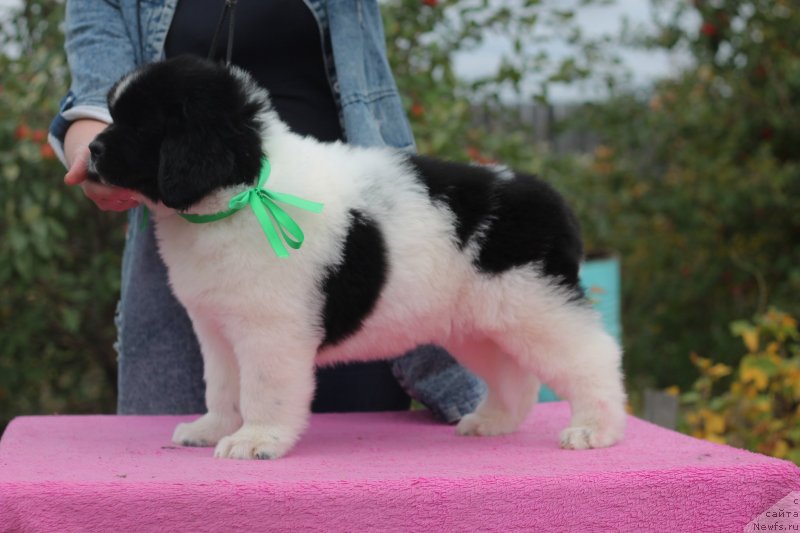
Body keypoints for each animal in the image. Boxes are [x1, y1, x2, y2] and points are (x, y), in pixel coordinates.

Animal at [87, 56, 624, 460]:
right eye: (112, 115)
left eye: (141, 124)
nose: (90, 148)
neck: (244, 190)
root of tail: (550, 198)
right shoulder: (216, 327)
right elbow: (221, 384)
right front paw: (213, 428)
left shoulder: (270, 328)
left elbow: (263, 387)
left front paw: (257, 440)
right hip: (478, 326)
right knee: (513, 374)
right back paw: (494, 421)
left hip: (537, 304)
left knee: (592, 356)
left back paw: (595, 430)